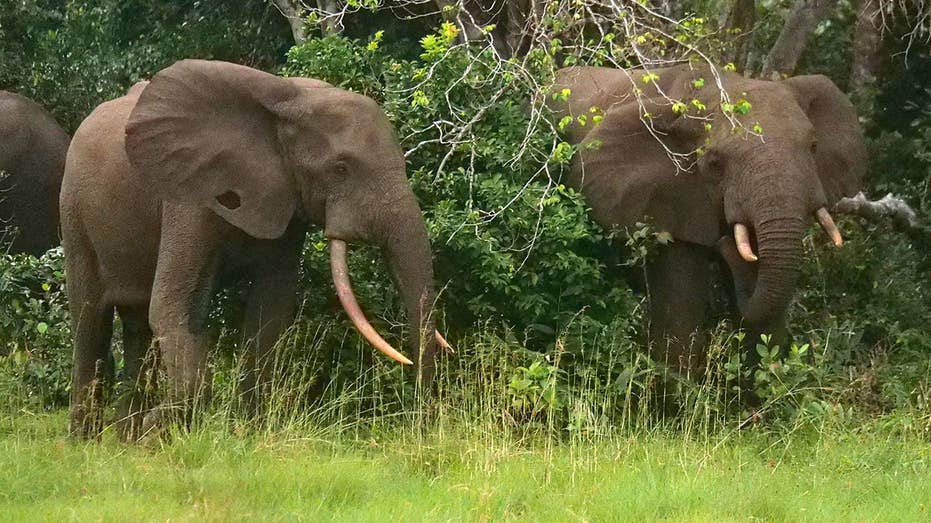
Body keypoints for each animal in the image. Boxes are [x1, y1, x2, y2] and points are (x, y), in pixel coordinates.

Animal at [62, 60, 446, 439]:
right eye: (340, 169)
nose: (421, 427)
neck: (291, 101)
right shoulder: (189, 197)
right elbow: (173, 305)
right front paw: (157, 428)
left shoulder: (286, 201)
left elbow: (270, 310)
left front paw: (247, 433)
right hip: (73, 212)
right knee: (90, 322)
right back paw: (86, 440)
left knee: (137, 327)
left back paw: (124, 440)